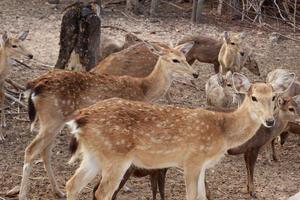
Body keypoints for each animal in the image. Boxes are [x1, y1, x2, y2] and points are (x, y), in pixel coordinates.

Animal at [18, 41, 197, 199]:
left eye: (185, 57)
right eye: (175, 60)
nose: (195, 74)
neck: (144, 90)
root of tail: (34, 86)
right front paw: (126, 186)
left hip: (52, 121)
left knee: (45, 151)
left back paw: (58, 191)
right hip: (52, 119)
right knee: (31, 150)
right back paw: (23, 195)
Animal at [65, 72, 292, 200]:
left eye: (273, 97)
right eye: (253, 97)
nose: (270, 121)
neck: (222, 130)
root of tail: (82, 117)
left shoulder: (202, 165)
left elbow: (202, 197)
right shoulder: (192, 160)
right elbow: (191, 196)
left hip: (93, 155)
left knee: (72, 184)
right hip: (116, 156)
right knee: (101, 192)